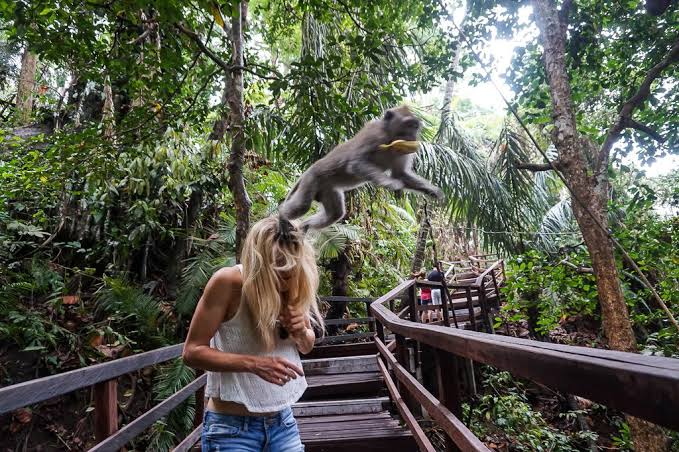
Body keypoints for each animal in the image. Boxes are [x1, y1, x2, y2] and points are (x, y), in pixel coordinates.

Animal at [276, 105, 443, 240]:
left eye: (415, 126)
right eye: (408, 125)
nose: (414, 137)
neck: (390, 137)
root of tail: (308, 170)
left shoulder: (403, 149)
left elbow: (401, 174)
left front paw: (433, 191)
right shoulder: (374, 134)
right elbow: (356, 163)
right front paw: (389, 183)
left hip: (326, 189)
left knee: (335, 213)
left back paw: (306, 225)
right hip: (312, 179)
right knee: (303, 205)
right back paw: (282, 217)